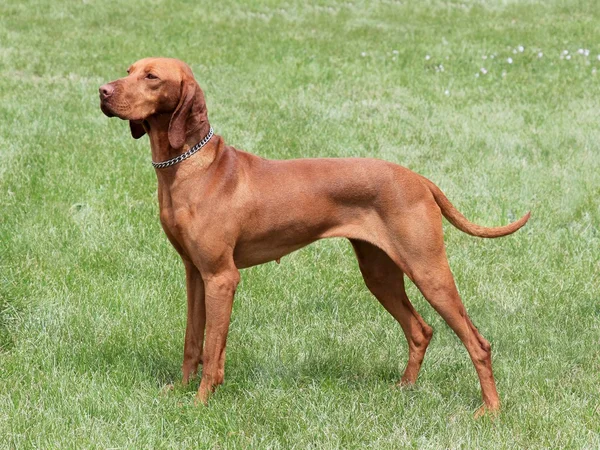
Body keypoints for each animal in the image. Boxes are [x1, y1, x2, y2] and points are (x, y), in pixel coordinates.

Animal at [98, 58, 528, 416]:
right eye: (129, 69)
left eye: (152, 77)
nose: (102, 90)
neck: (192, 167)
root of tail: (419, 178)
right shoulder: (195, 274)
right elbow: (192, 340)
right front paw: (182, 389)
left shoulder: (222, 277)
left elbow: (212, 347)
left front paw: (201, 402)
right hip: (379, 273)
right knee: (421, 330)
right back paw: (404, 389)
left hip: (428, 270)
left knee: (478, 343)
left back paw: (490, 410)